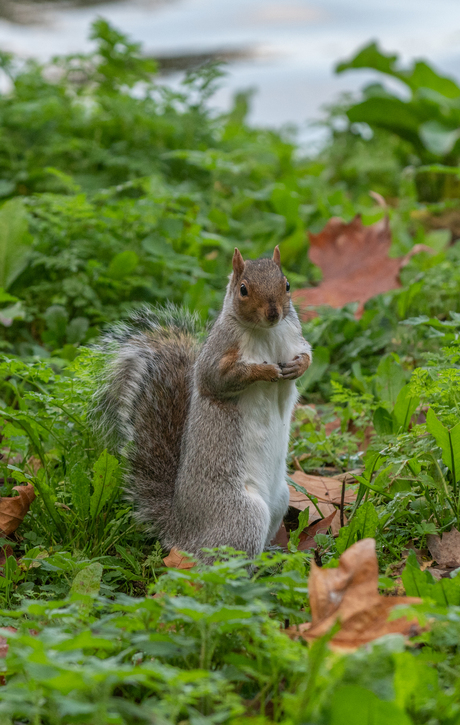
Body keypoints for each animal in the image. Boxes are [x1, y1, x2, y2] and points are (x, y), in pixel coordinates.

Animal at [97, 246, 312, 556]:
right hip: (242, 516)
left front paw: (297, 367)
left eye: (287, 285)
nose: (274, 313)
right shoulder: (219, 353)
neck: (267, 332)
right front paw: (266, 371)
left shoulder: (294, 336)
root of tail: (180, 531)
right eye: (243, 289)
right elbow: (219, 379)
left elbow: (307, 354)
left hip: (281, 499)